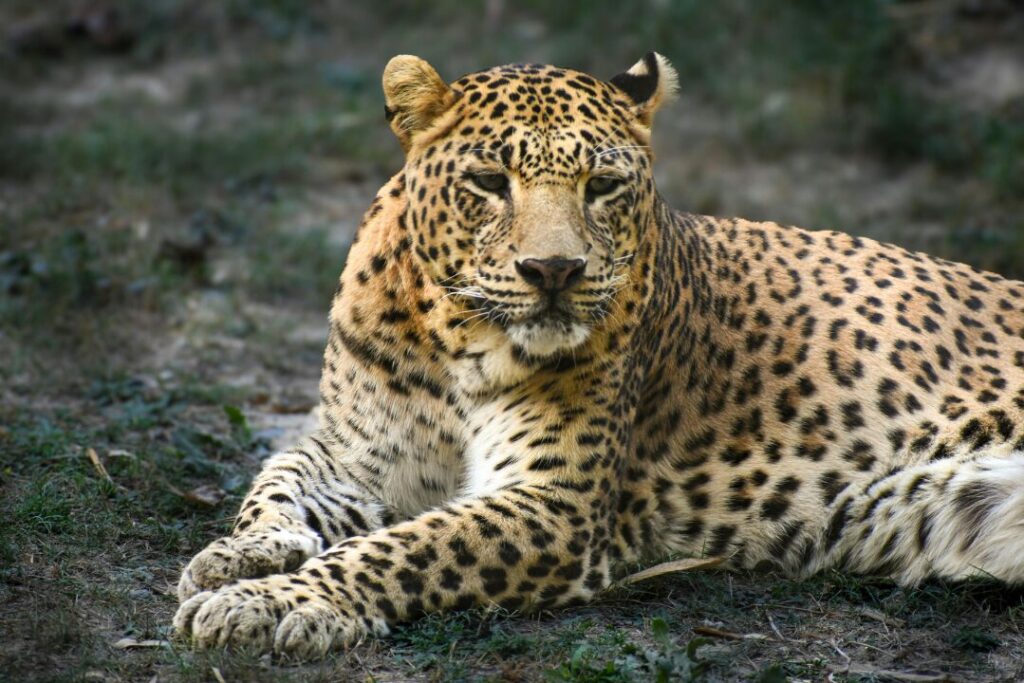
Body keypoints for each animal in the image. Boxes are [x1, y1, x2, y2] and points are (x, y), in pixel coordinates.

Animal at [173, 52, 1024, 659]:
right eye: (489, 180)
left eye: (603, 184)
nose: (554, 271)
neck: (453, 343)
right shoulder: (354, 449)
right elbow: (277, 481)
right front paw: (240, 557)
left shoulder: (559, 504)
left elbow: (399, 550)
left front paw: (277, 601)